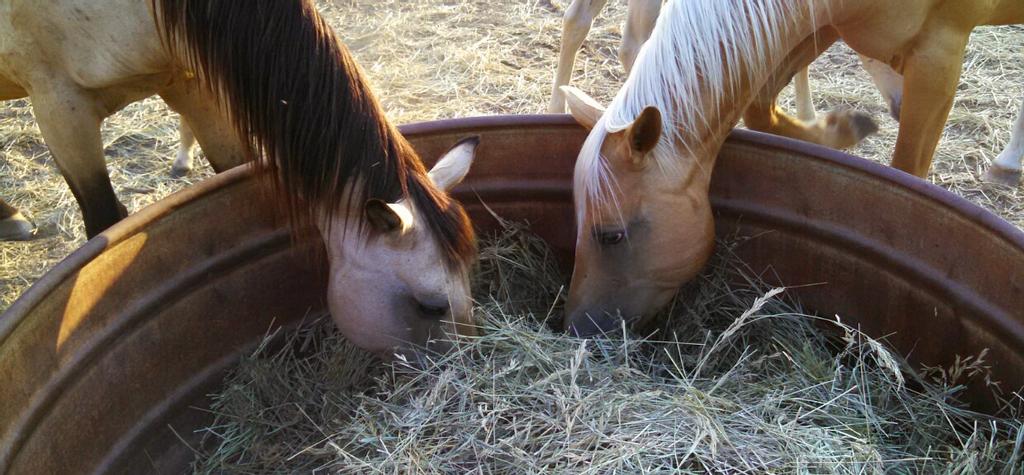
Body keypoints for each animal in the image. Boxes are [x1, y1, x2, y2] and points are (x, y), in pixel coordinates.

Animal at [561, 0, 1024, 335]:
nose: (576, 328)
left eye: (612, 235)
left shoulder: (938, 58)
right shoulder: (817, 24)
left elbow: (908, 174)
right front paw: (838, 131)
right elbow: (761, 110)